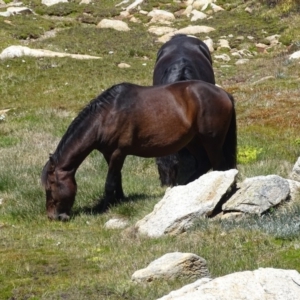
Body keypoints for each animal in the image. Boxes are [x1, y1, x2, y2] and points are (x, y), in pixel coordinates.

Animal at [41, 79, 237, 220]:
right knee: (203, 164)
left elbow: (110, 182)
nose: (53, 216)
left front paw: (105, 208)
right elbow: (117, 178)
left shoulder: (119, 152)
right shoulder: (109, 153)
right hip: (193, 140)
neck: (106, 115)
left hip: (211, 140)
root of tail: (224, 94)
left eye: (50, 187)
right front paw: (119, 201)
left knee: (219, 166)